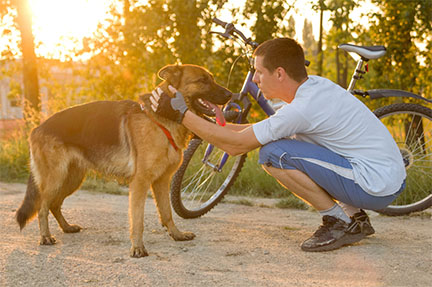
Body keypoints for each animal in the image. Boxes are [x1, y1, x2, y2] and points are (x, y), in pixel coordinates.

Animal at [16, 64, 233, 258]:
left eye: (211, 78)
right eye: (202, 80)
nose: (231, 95)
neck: (161, 119)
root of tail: (37, 128)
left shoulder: (162, 181)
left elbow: (167, 213)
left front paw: (176, 235)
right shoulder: (140, 183)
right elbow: (137, 219)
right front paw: (137, 248)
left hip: (72, 179)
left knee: (54, 205)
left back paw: (67, 227)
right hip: (56, 179)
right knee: (43, 207)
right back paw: (45, 237)